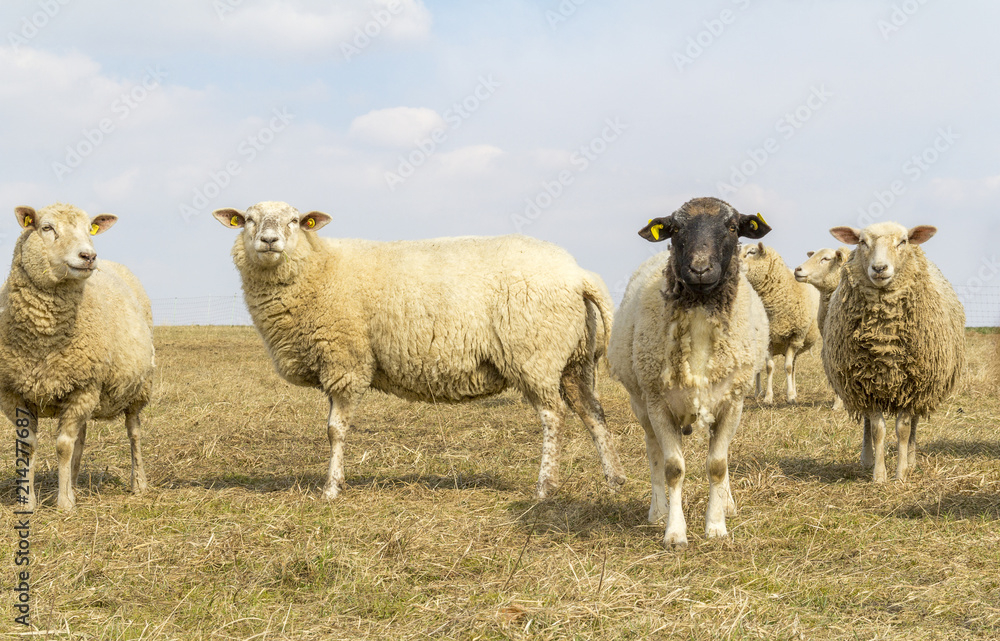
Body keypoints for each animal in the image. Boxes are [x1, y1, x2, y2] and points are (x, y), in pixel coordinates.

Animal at [0, 203, 154, 511]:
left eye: (89, 230)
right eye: (46, 227)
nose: (89, 256)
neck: (43, 340)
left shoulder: (85, 386)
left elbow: (62, 446)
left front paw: (64, 503)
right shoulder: (13, 392)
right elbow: (28, 445)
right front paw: (28, 501)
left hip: (137, 389)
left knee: (133, 433)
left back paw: (138, 483)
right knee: (80, 439)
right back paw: (73, 482)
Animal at [213, 201, 626, 500]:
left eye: (296, 220)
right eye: (248, 219)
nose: (269, 240)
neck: (319, 267)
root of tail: (578, 274)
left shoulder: (346, 361)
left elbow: (334, 430)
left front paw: (331, 489)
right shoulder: (337, 363)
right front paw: (336, 483)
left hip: (535, 353)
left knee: (554, 416)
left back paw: (545, 487)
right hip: (574, 359)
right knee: (593, 412)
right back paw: (614, 478)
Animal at [608, 197, 770, 547]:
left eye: (733, 227)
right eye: (676, 228)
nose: (699, 269)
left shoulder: (732, 403)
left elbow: (718, 465)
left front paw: (717, 526)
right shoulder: (658, 403)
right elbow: (673, 468)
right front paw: (674, 532)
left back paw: (727, 503)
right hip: (641, 402)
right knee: (653, 451)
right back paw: (657, 510)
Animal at [740, 243, 821, 404]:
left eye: (752, 252)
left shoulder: (795, 337)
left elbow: (788, 367)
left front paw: (791, 396)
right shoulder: (768, 339)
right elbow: (769, 367)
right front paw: (768, 397)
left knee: (793, 366)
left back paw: (794, 391)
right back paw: (758, 392)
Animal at [823, 222, 965, 483]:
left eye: (903, 241)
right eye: (862, 242)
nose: (879, 268)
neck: (884, 339)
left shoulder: (913, 384)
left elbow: (903, 429)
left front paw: (900, 474)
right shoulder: (866, 385)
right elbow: (877, 429)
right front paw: (879, 476)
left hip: (923, 389)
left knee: (915, 424)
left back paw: (911, 459)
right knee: (866, 423)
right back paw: (867, 459)